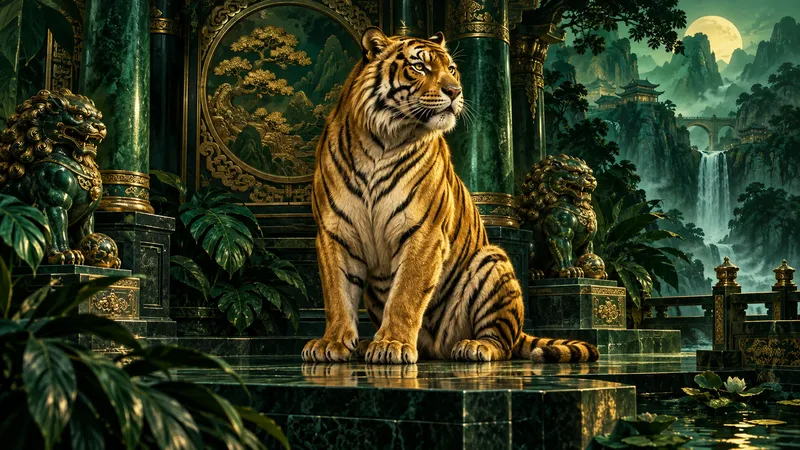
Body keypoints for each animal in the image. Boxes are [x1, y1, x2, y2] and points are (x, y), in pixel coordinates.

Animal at [302, 27, 600, 365]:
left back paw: (474, 346)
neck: (380, 142)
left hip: (493, 260)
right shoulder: (334, 231)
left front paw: (392, 343)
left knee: (501, 342)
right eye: (420, 67)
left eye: (452, 69)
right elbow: (337, 294)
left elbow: (405, 294)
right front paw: (333, 342)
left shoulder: (423, 231)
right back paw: (368, 345)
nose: (455, 91)